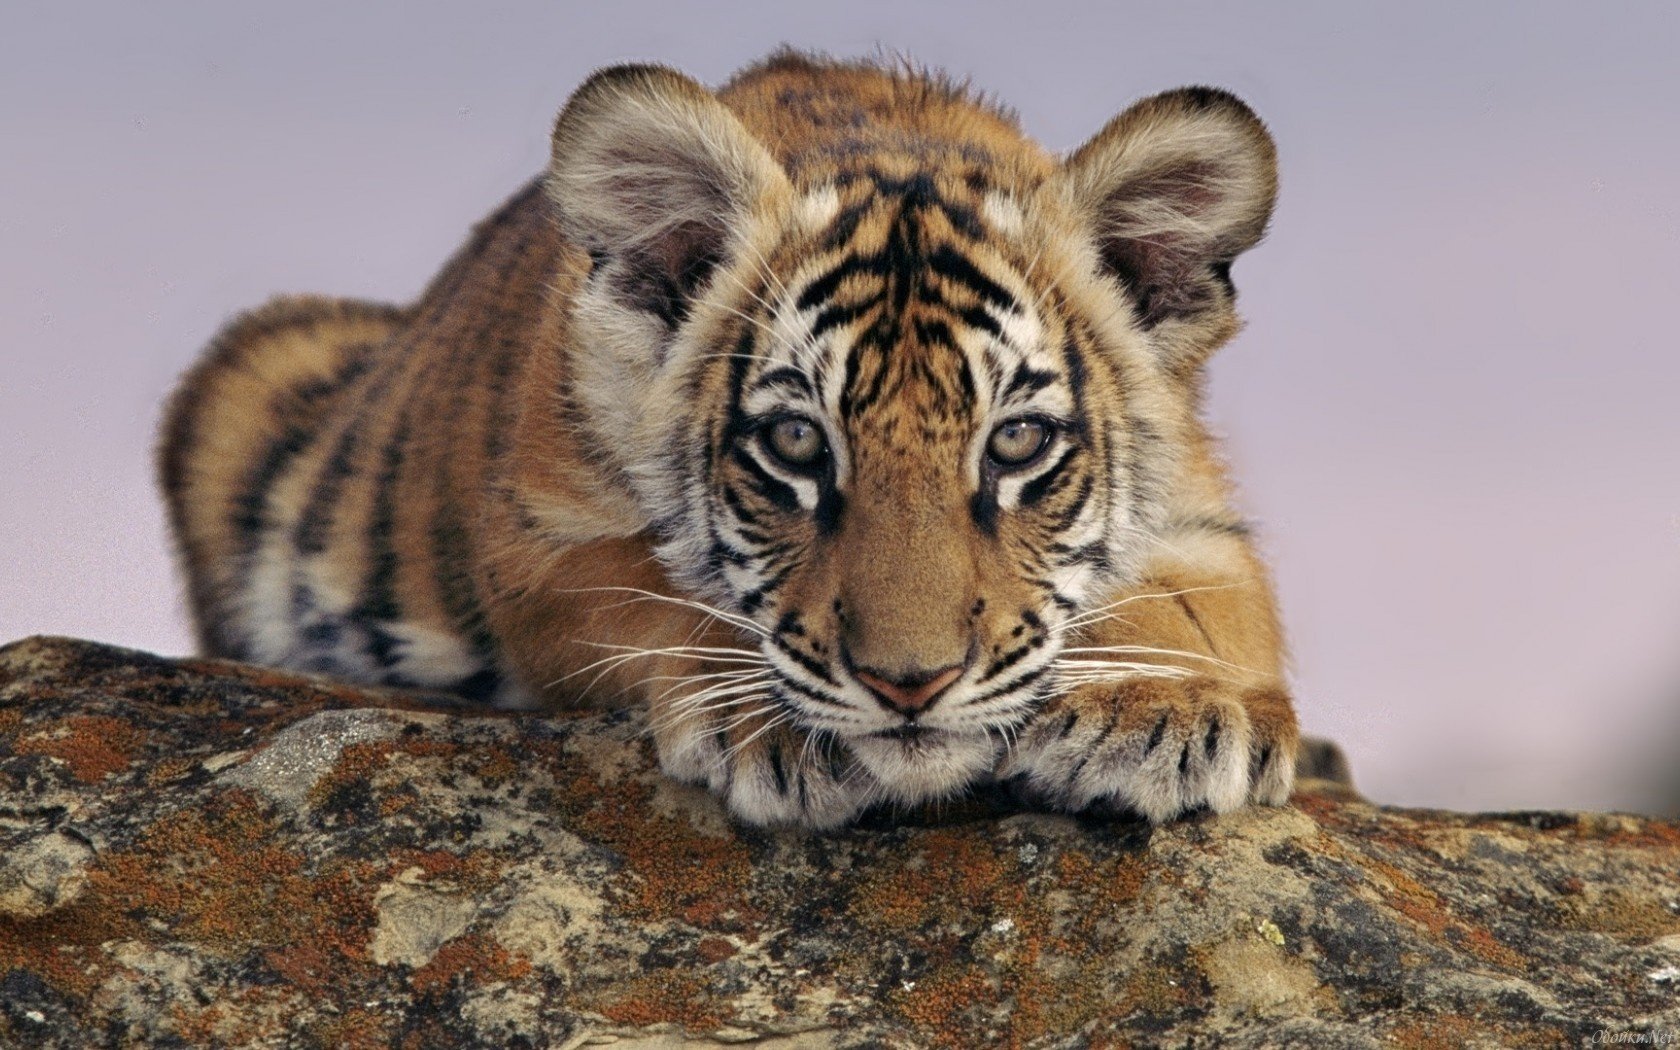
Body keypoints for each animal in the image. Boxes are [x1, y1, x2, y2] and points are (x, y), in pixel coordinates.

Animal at [159, 51, 1300, 828]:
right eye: (796, 443)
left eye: (1015, 444)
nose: (910, 687)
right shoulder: (539, 538)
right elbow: (655, 590)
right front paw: (775, 722)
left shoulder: (1203, 520)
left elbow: (1198, 608)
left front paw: (1161, 708)